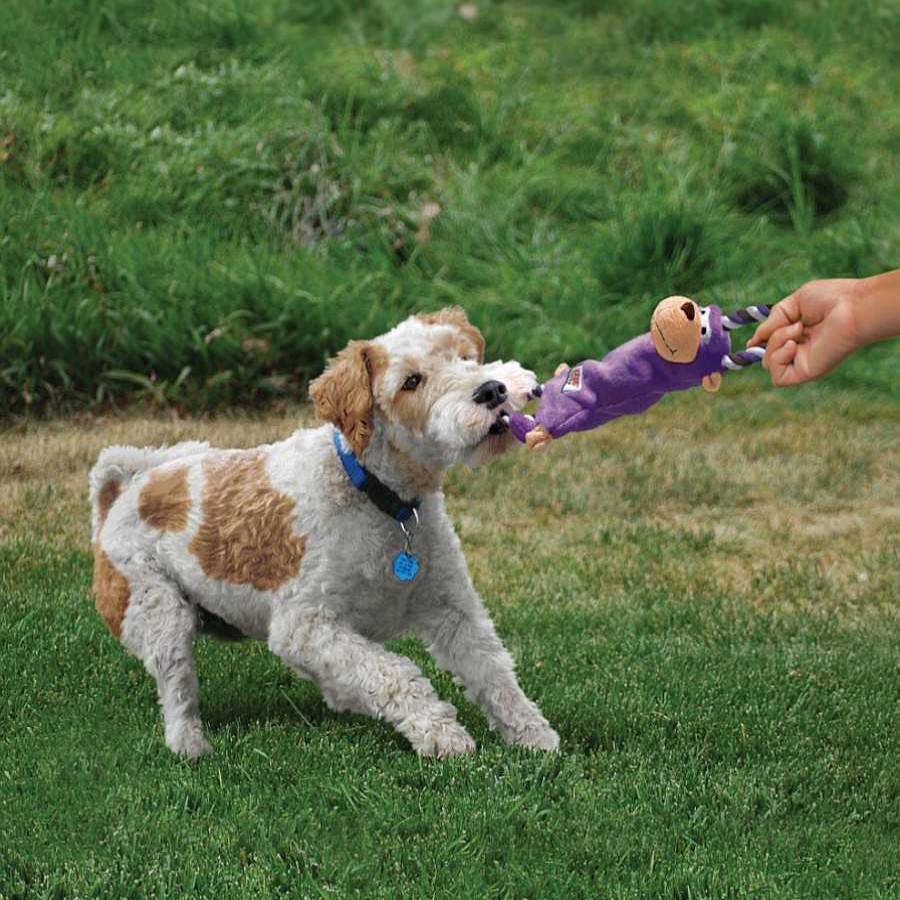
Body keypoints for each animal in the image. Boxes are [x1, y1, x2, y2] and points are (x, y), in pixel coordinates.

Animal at [89, 310, 556, 760]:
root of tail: (123, 491)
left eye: (463, 355)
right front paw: (444, 738)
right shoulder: (304, 626)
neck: (377, 496)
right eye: (411, 382)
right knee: (178, 691)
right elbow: (398, 673)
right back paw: (191, 747)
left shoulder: (451, 606)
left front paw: (535, 737)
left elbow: (493, 671)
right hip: (158, 610)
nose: (492, 390)